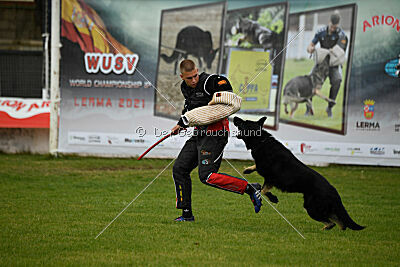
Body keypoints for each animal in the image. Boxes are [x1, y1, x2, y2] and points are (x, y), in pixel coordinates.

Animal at [231, 116, 366, 231]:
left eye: (243, 122)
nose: (235, 117)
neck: (261, 141)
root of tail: (333, 191)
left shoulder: (270, 178)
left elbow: (262, 191)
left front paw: (268, 197)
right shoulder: (266, 175)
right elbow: (258, 176)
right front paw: (248, 170)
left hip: (312, 208)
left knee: (332, 222)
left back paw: (324, 229)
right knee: (340, 223)